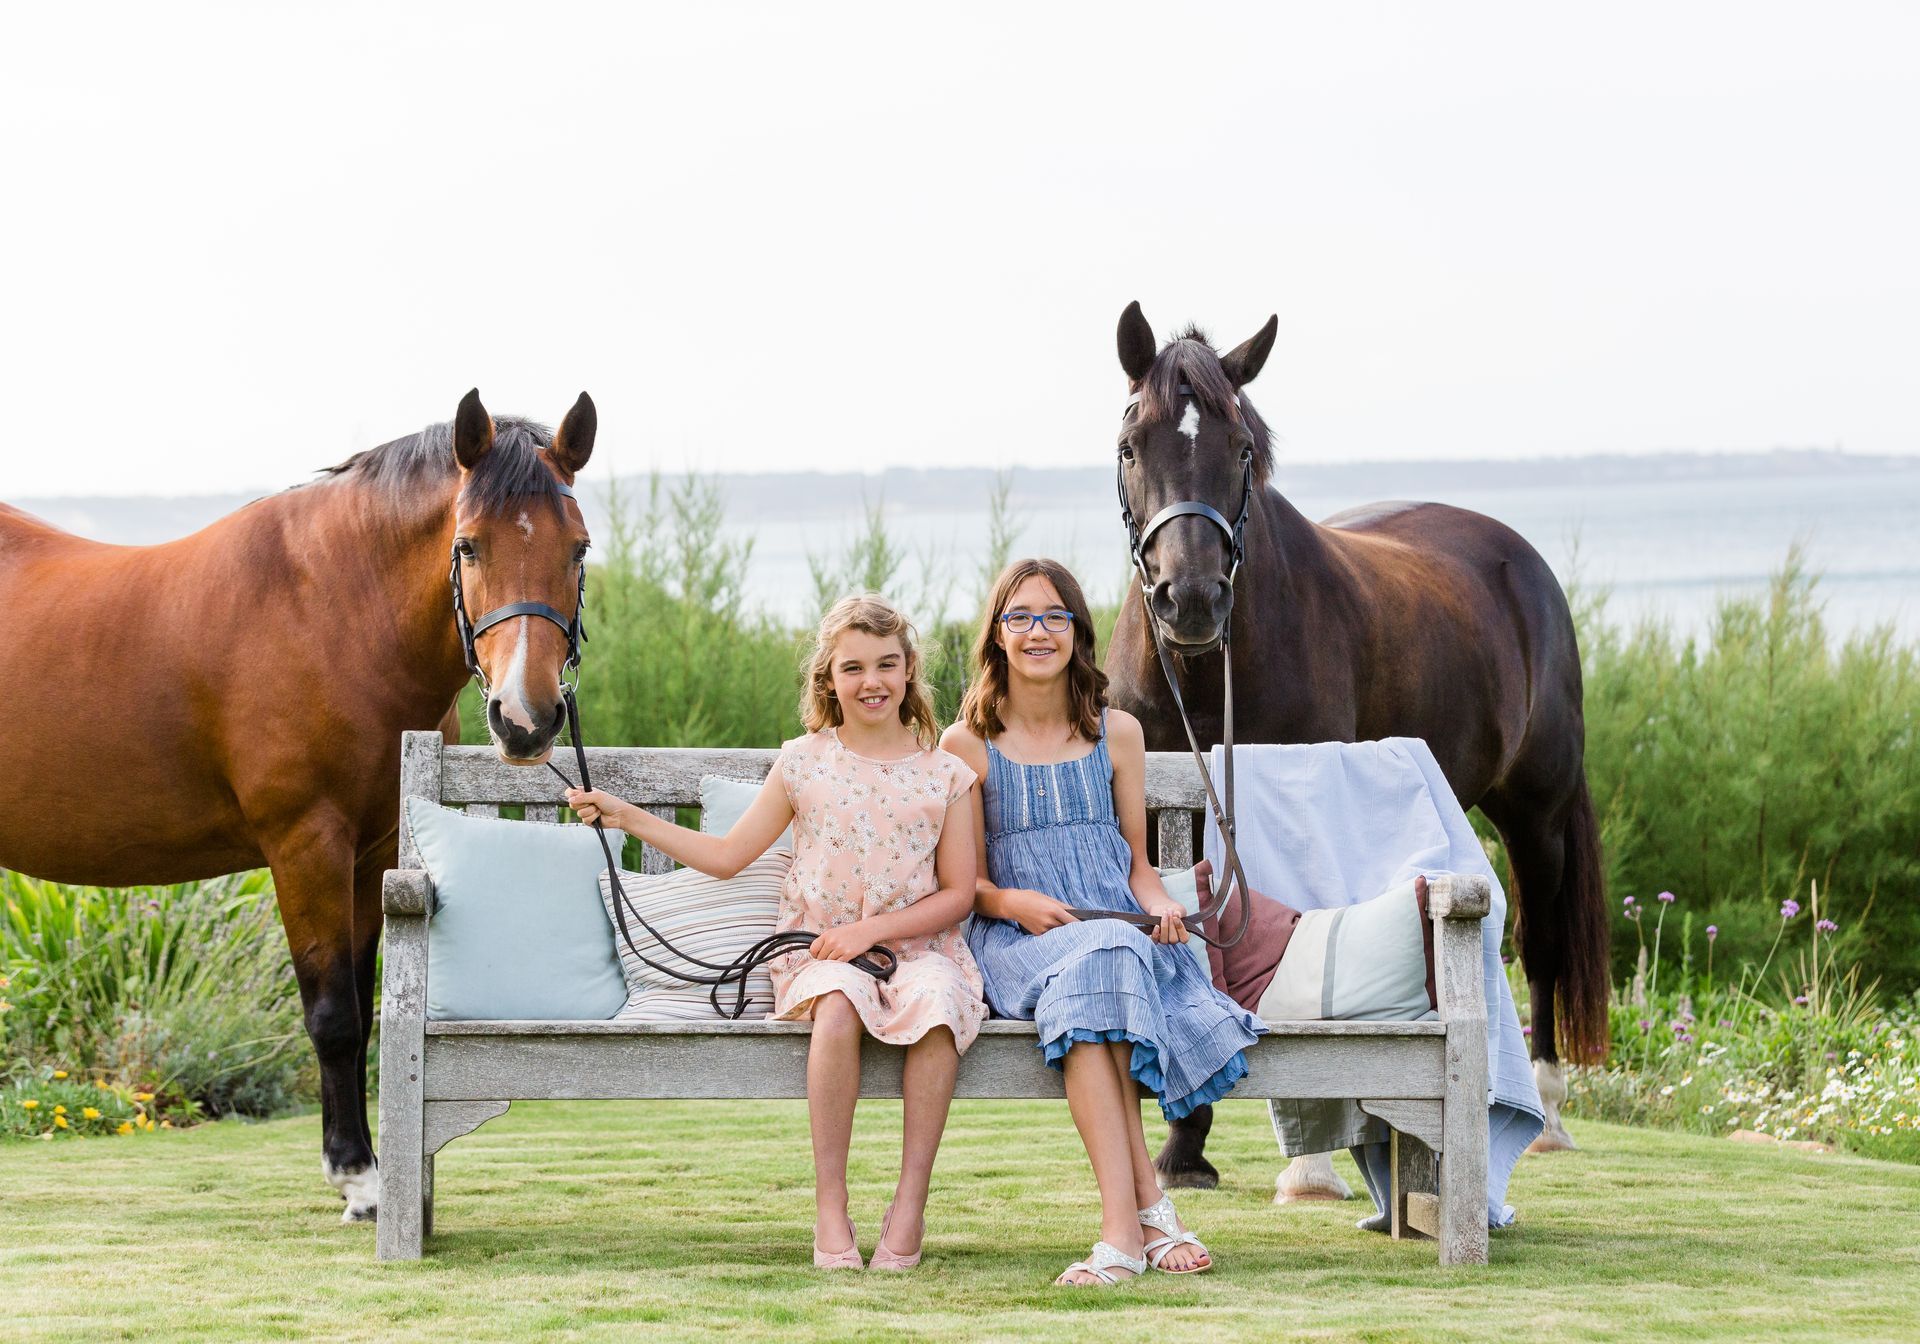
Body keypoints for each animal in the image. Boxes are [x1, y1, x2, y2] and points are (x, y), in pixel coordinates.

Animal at [0, 390, 596, 1221]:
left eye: (577, 549)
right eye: (469, 546)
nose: (525, 718)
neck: (330, 611)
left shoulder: (371, 856)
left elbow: (364, 1008)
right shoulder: (305, 845)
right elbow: (333, 1016)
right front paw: (360, 1178)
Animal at [1101, 302, 1608, 1188]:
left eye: (1241, 446)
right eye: (1133, 443)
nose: (1190, 600)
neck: (1202, 675)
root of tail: (1523, 564)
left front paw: (1307, 1168)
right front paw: (1184, 1146)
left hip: (1537, 814)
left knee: (1542, 944)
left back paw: (1546, 1113)